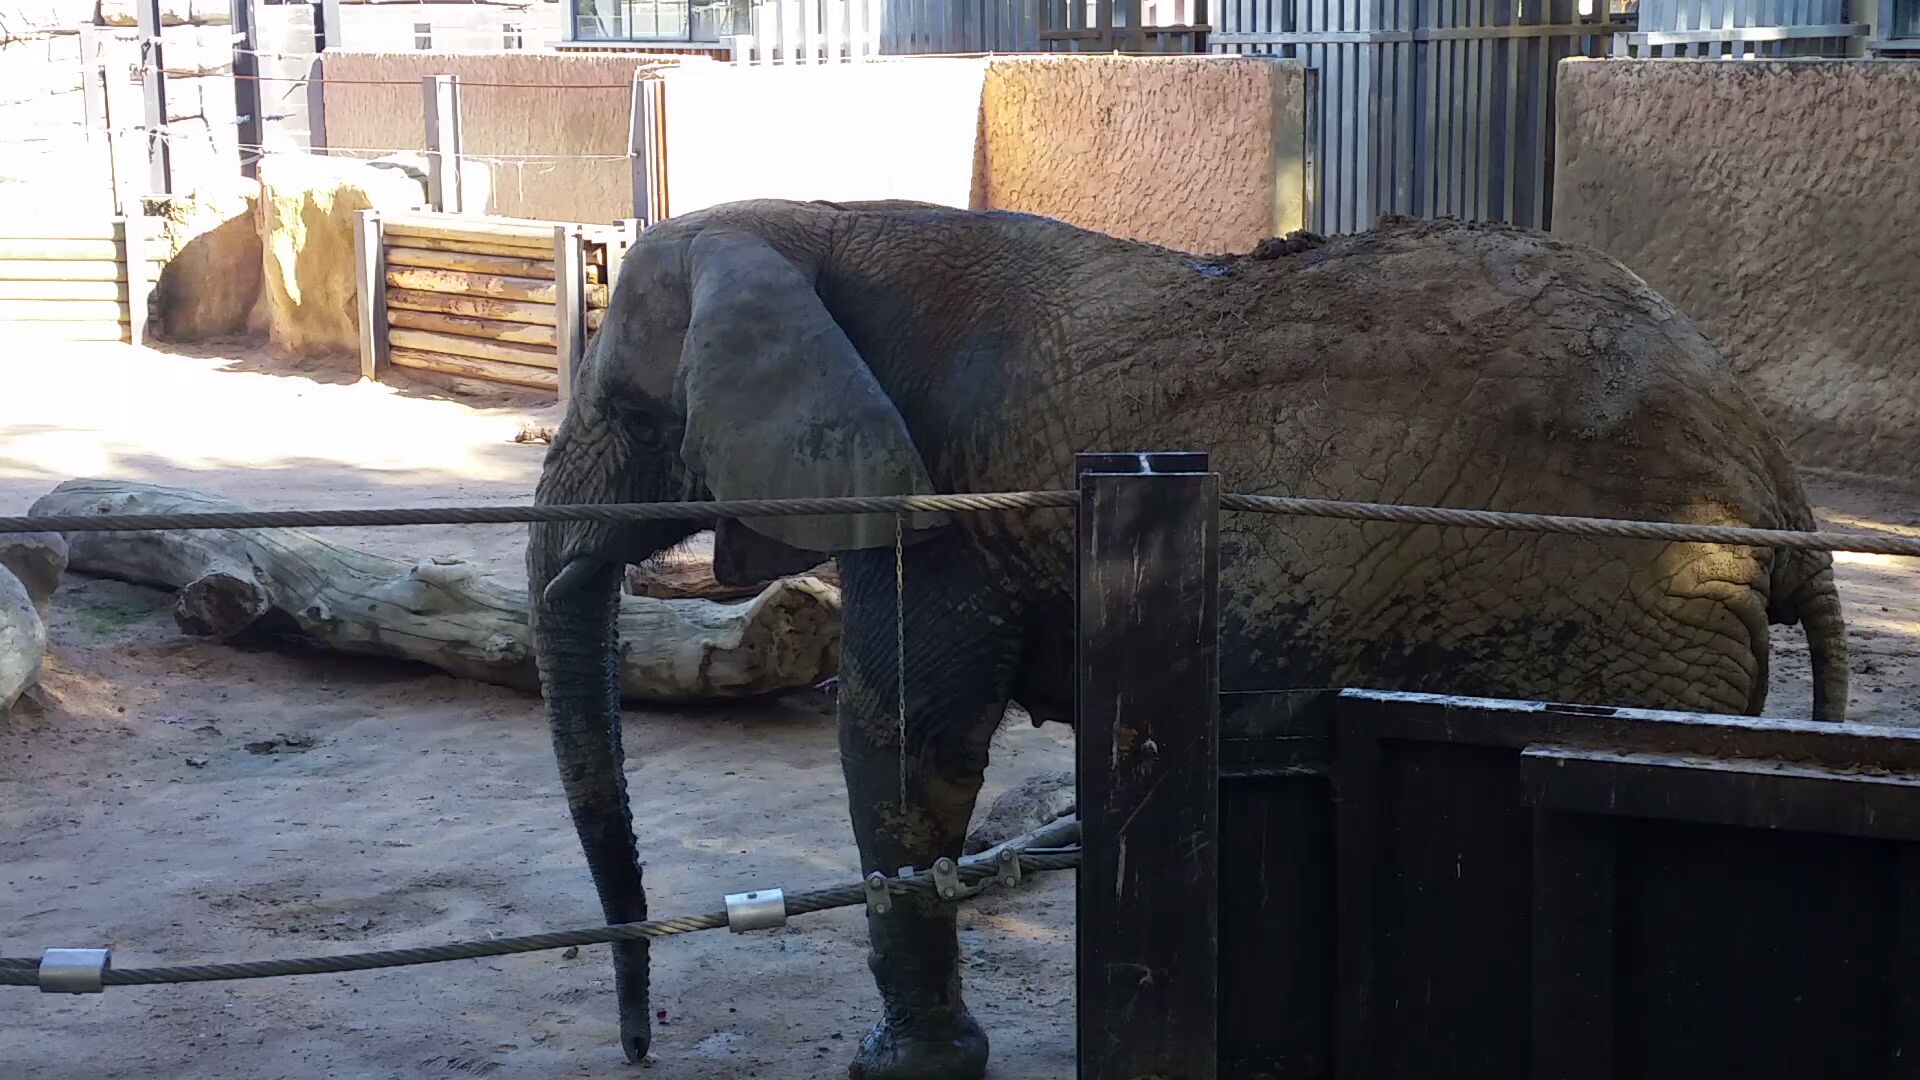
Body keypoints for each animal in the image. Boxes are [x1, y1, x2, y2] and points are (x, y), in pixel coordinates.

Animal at [527, 198, 1847, 1079]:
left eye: (630, 413)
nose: (637, 1047)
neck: (812, 219)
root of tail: (1781, 484)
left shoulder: (945, 504)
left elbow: (910, 745)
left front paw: (899, 1069)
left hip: (1623, 613)